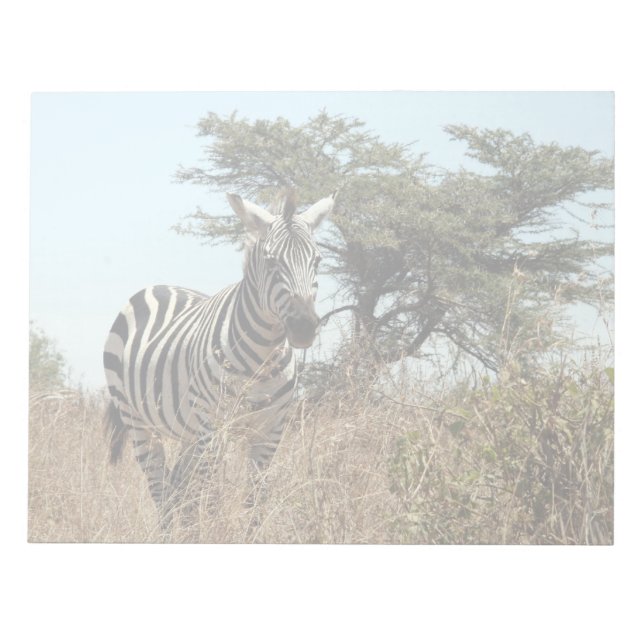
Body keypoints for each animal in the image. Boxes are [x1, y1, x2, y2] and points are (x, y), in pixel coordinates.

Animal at [103, 189, 336, 528]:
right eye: (271, 261)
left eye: (317, 260)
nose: (304, 326)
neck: (262, 360)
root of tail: (156, 286)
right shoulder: (214, 430)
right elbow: (213, 500)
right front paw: (215, 533)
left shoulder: (270, 432)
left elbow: (255, 501)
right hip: (138, 422)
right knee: (161, 490)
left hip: (188, 430)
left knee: (178, 489)